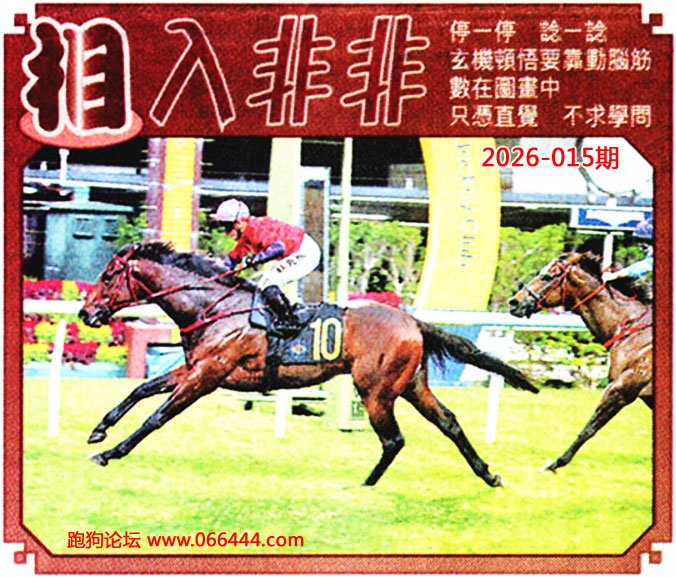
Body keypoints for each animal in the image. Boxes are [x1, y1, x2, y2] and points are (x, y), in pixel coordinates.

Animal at [79, 241, 538, 487]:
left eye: (108, 277)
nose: (86, 314)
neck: (214, 308)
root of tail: (413, 321)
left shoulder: (207, 376)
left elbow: (156, 416)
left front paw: (111, 452)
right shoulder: (191, 368)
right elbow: (139, 389)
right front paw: (99, 430)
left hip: (376, 391)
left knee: (393, 440)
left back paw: (365, 485)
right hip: (411, 386)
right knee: (449, 423)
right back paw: (488, 474)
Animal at [508, 250, 652, 473]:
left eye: (547, 276)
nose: (514, 302)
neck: (630, 328)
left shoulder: (622, 388)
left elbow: (589, 428)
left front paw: (555, 463)